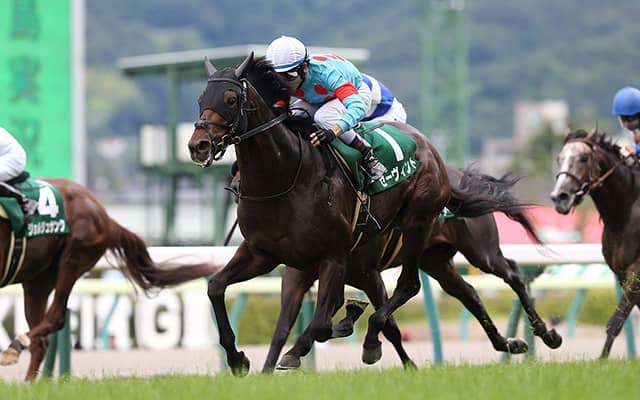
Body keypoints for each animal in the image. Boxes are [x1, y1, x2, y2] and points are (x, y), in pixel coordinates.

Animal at [0, 178, 221, 380]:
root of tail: (106, 217)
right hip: (37, 280)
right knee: (41, 341)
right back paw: (30, 383)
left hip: (73, 258)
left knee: (55, 318)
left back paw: (15, 348)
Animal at [261, 165, 561, 371]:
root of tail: (459, 176)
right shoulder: (303, 272)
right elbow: (289, 326)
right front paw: (273, 366)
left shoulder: (368, 275)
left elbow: (384, 323)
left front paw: (396, 359)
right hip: (437, 262)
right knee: (469, 295)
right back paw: (508, 342)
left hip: (481, 251)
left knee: (512, 274)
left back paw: (547, 334)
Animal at [550, 127, 639, 358]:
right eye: (559, 158)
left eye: (583, 158)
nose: (560, 197)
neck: (623, 215)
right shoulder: (621, 274)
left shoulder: (637, 271)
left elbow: (615, 322)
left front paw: (602, 359)